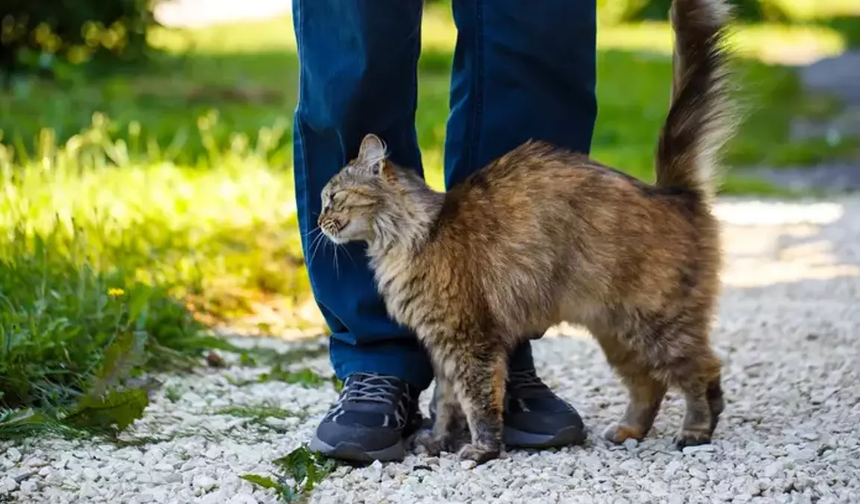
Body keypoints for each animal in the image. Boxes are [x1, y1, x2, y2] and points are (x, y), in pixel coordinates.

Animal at [320, 0, 736, 464]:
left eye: (332, 198)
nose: (318, 221)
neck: (409, 237)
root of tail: (670, 192)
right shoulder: (443, 346)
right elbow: (445, 401)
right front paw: (438, 441)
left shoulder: (468, 341)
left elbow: (477, 401)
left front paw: (481, 449)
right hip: (617, 333)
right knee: (650, 383)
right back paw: (628, 430)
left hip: (657, 323)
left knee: (703, 372)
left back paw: (695, 432)